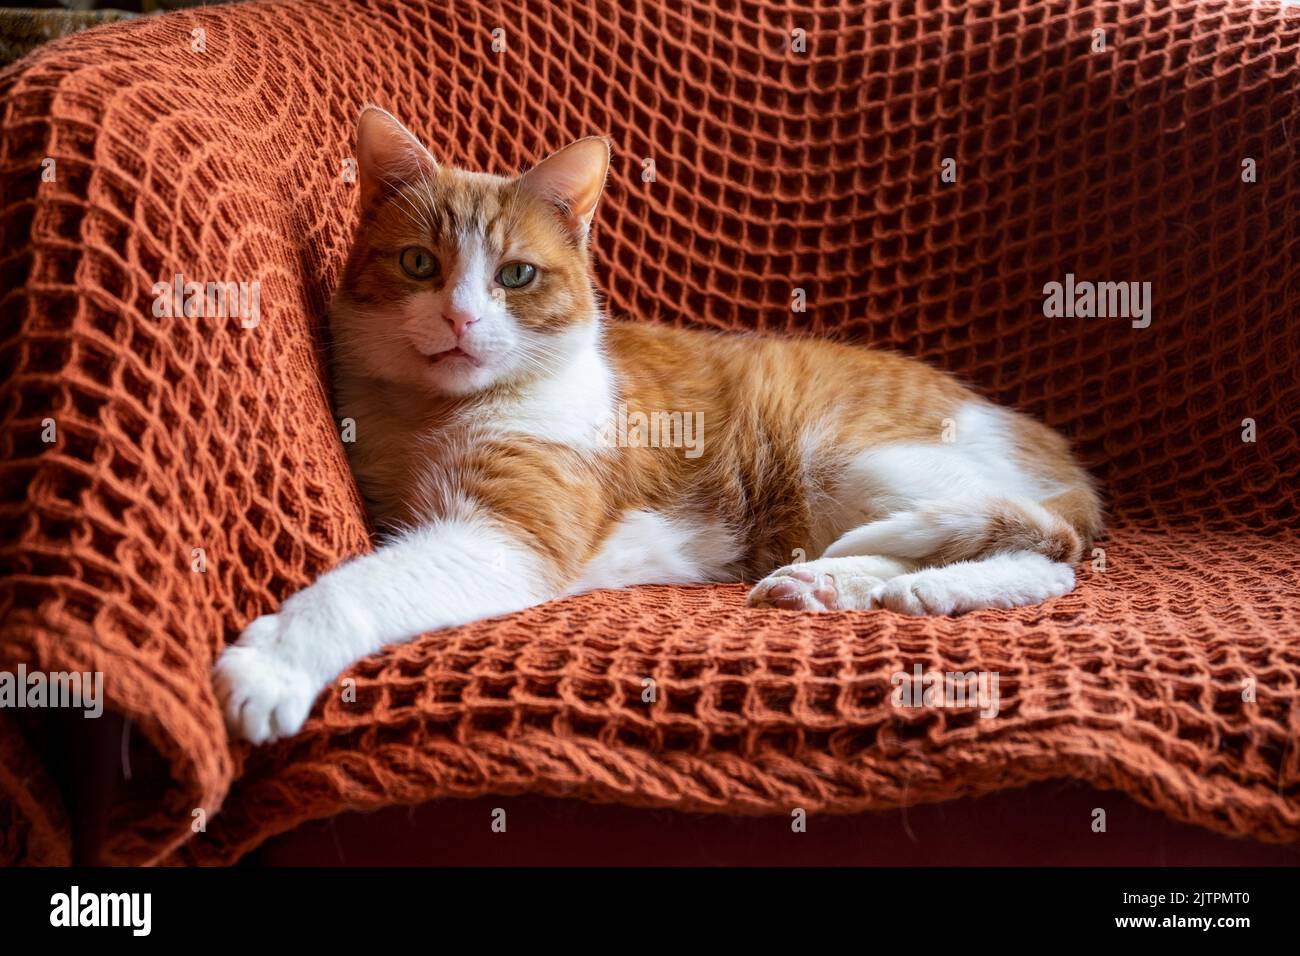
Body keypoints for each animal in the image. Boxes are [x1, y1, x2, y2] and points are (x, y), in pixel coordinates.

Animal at [210, 106, 1097, 749]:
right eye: (420, 265)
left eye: (516, 276)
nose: (461, 318)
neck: (432, 412)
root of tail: (1042, 440)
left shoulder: (504, 537)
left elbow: (360, 585)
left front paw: (274, 665)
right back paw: (834, 582)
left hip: (846, 457)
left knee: (1047, 548)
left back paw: (918, 586)